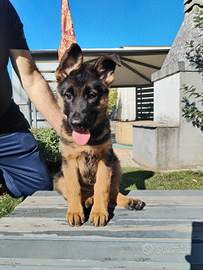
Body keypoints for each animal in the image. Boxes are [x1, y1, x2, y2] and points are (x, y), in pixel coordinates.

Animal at [54, 43, 143, 226]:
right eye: (68, 96)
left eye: (92, 96)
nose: (77, 123)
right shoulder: (69, 163)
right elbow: (74, 189)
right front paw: (75, 211)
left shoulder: (105, 160)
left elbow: (102, 188)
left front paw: (99, 212)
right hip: (59, 178)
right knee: (82, 193)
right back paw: (87, 201)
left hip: (116, 165)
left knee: (111, 192)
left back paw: (126, 201)